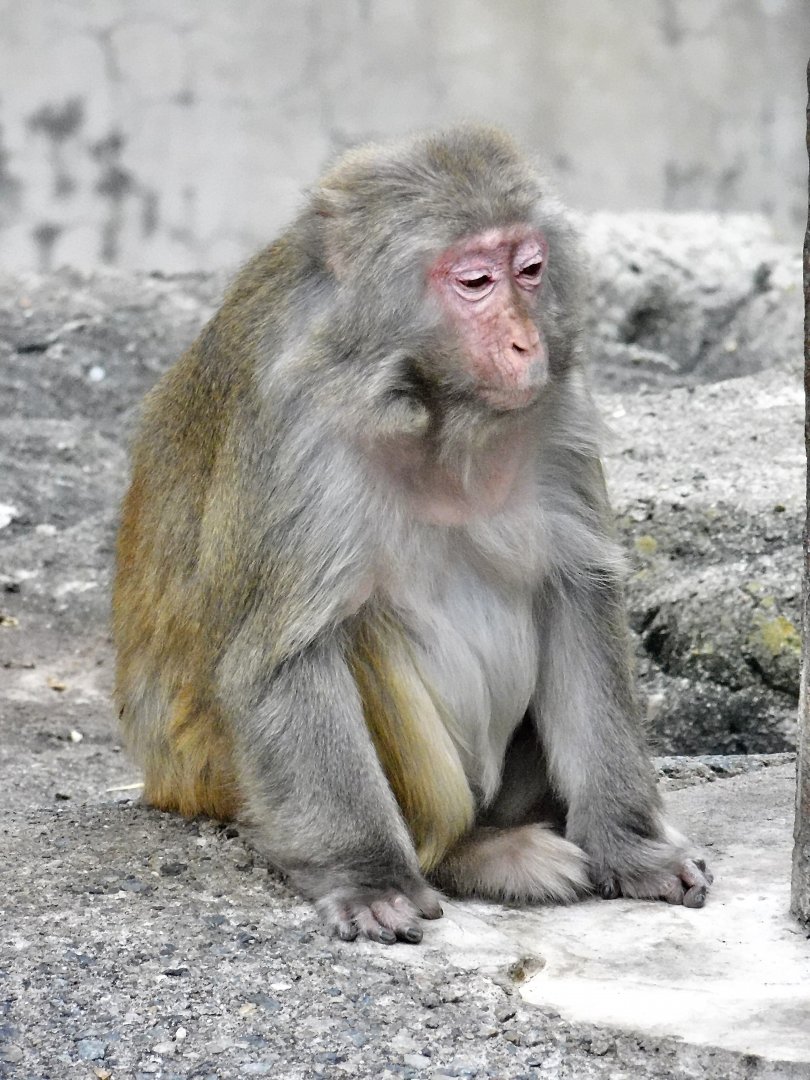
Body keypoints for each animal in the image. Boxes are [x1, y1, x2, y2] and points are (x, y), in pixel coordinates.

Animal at [113, 127, 712, 945]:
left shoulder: (556, 413)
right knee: (363, 628)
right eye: (475, 281)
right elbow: (285, 657)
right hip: (217, 776)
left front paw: (631, 844)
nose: (526, 343)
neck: (431, 407)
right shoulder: (296, 424)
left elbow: (576, 596)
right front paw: (368, 876)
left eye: (530, 270)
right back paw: (467, 853)